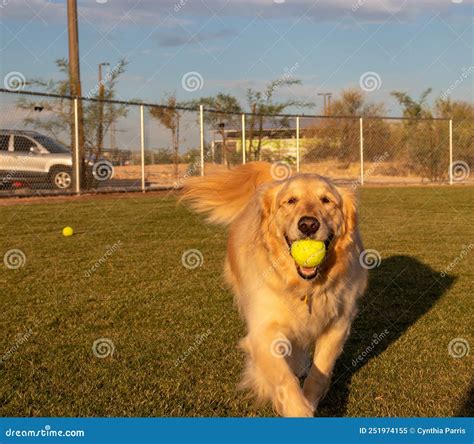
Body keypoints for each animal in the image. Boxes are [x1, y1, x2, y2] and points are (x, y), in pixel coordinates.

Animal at [181, 162, 366, 416]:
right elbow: (284, 380)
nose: (308, 225)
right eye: (290, 201)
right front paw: (298, 409)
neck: (304, 286)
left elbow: (319, 373)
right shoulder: (264, 330)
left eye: (326, 200)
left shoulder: (338, 325)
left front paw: (309, 398)